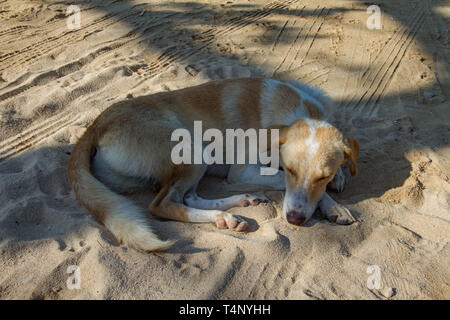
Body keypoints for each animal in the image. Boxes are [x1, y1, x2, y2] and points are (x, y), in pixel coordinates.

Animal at [68, 78, 360, 252]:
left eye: (322, 176)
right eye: (290, 170)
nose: (295, 220)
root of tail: (95, 125)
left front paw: (336, 196)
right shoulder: (243, 170)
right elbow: (283, 183)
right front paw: (331, 203)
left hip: (198, 158)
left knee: (189, 197)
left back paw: (232, 209)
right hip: (191, 149)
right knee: (163, 204)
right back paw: (224, 215)